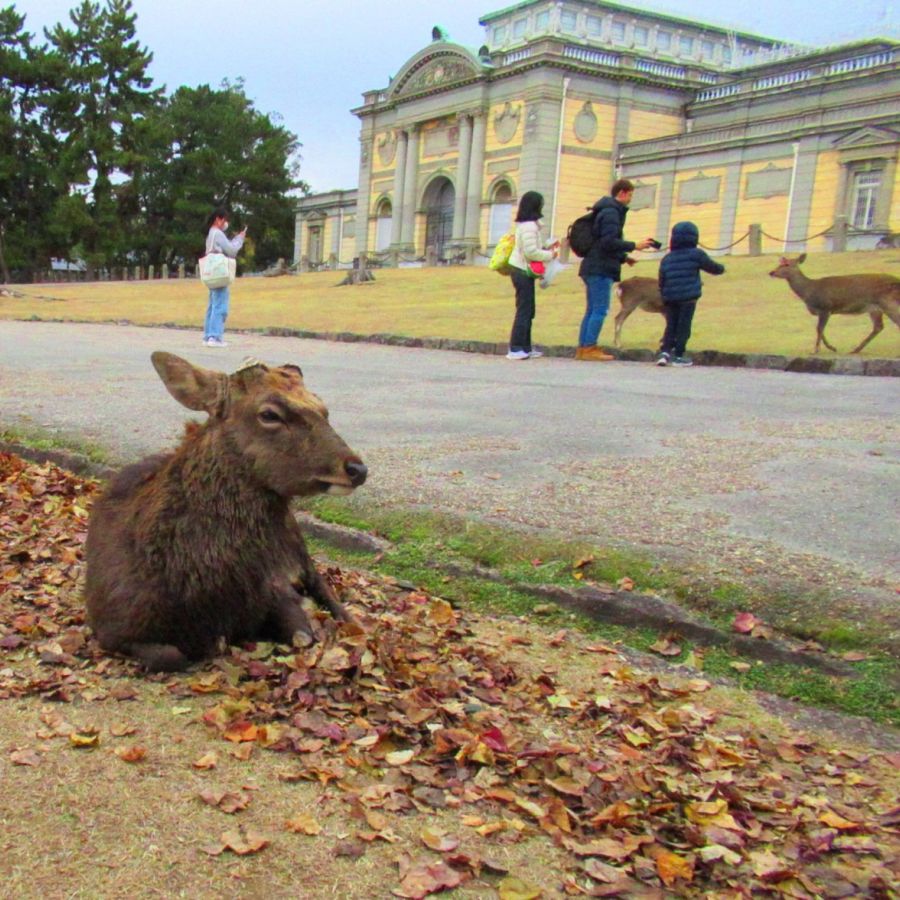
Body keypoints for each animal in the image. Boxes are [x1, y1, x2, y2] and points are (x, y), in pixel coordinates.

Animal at [82, 352, 368, 668]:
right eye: (269, 414)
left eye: (323, 408)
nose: (357, 469)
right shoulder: (110, 629)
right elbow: (171, 655)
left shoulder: (274, 590)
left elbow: (302, 634)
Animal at [768, 253, 900, 356]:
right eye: (780, 263)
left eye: (787, 264)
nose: (771, 272)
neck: (808, 292)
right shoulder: (824, 311)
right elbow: (820, 329)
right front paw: (831, 348)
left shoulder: (825, 307)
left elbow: (819, 328)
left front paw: (817, 350)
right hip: (874, 308)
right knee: (878, 327)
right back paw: (855, 350)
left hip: (888, 302)